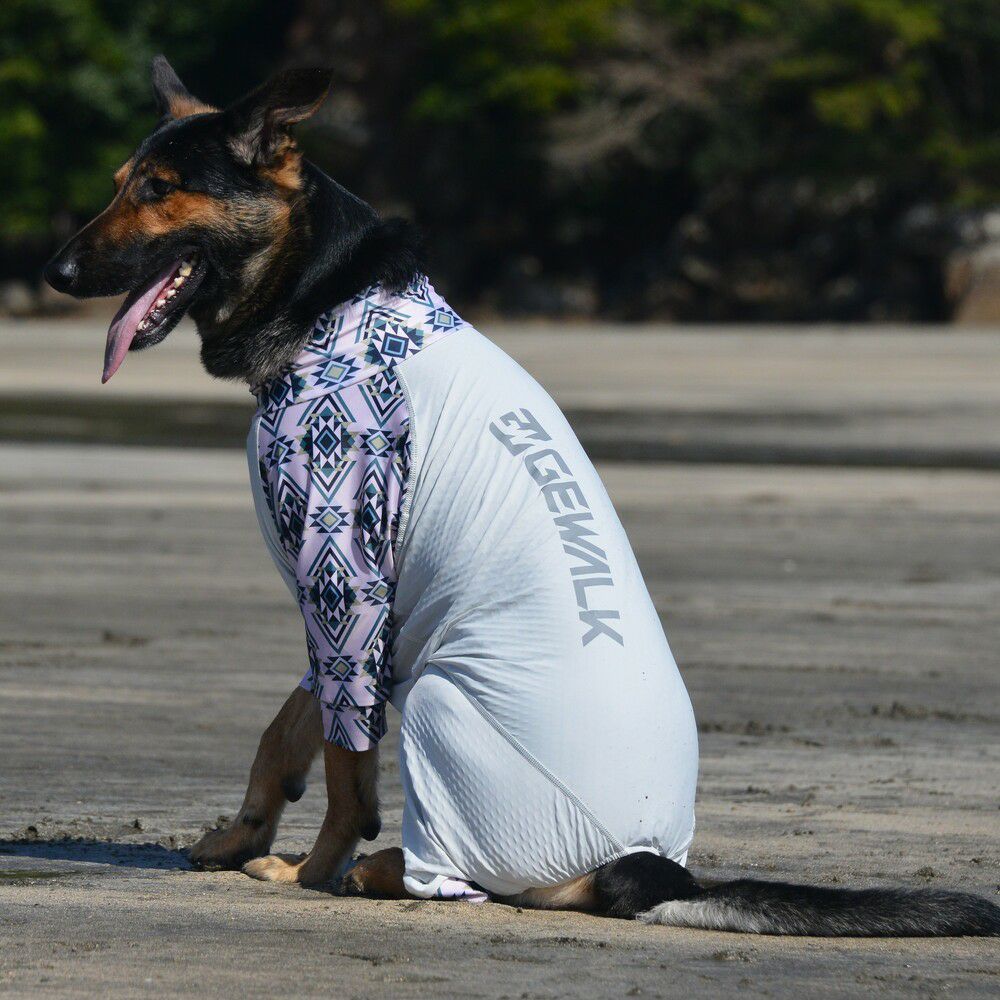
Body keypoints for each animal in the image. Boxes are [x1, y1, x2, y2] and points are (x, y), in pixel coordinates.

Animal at [43, 56, 999, 936]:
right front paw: (241, 833)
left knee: (459, 879)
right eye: (121, 184)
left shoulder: (346, 581)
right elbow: (291, 726)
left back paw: (375, 870)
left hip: (438, 698)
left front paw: (308, 868)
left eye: (161, 191)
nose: (55, 270)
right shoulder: (346, 608)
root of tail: (646, 867)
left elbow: (346, 765)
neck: (325, 299)